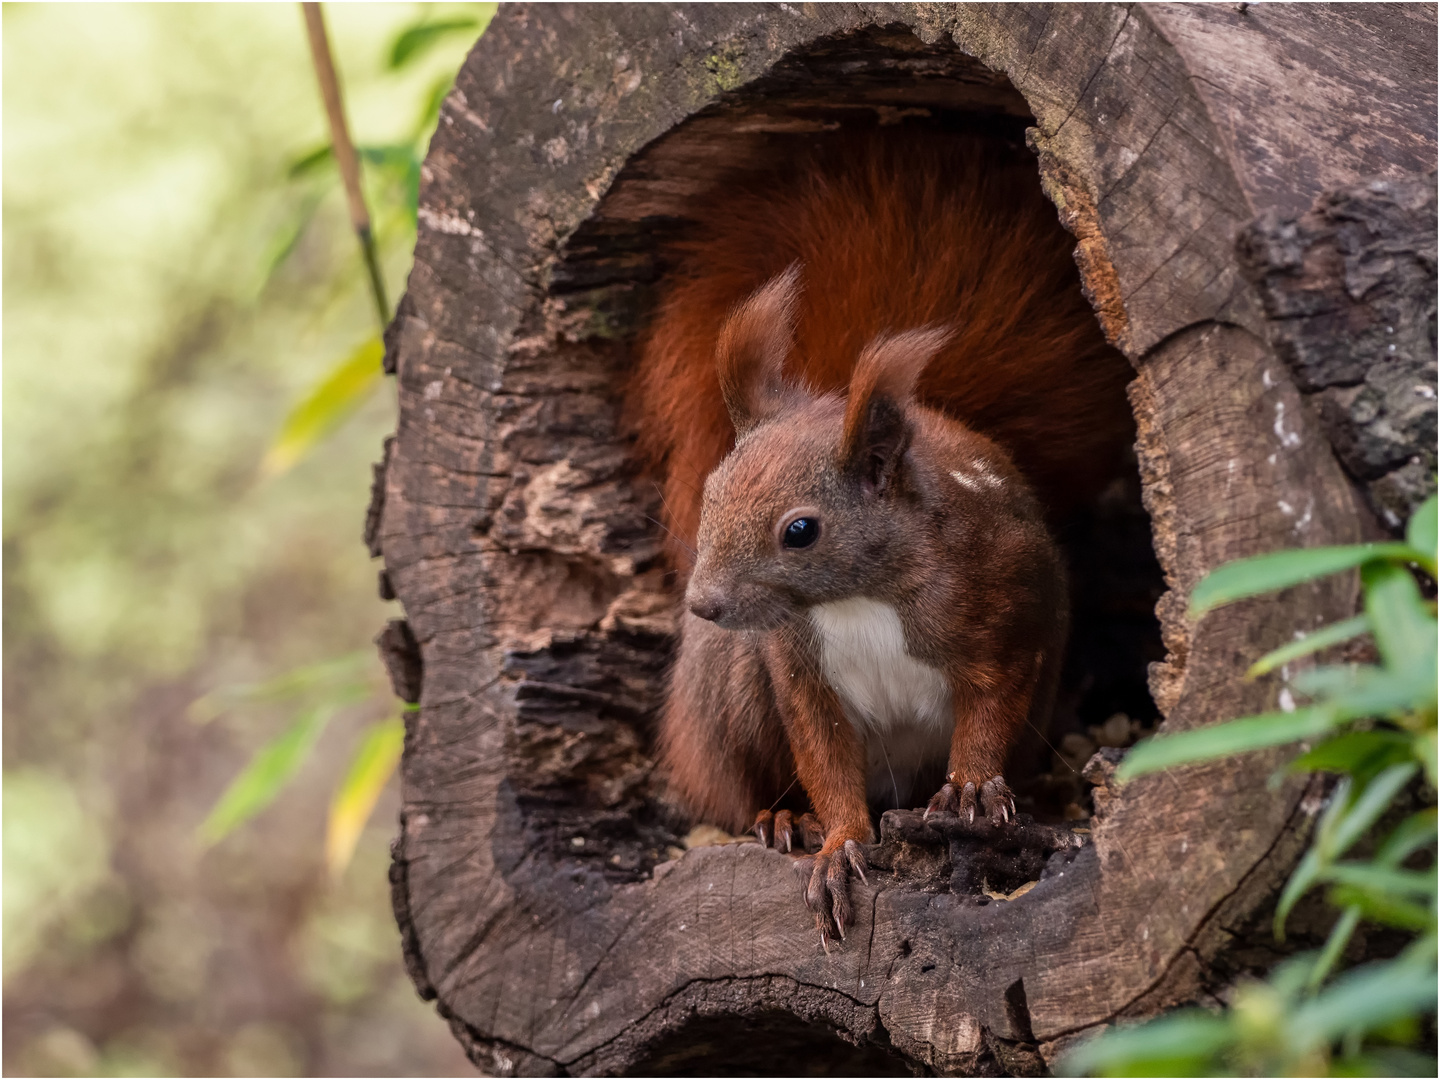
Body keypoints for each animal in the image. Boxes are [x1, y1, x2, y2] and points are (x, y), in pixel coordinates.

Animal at [630, 131, 1134, 938]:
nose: (703, 606)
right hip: (733, 692)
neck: (859, 599)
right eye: (710, 491)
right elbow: (825, 758)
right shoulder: (798, 673)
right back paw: (784, 820)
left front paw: (972, 789)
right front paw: (837, 842)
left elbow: (992, 703)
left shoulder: (1003, 607)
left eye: (801, 531)